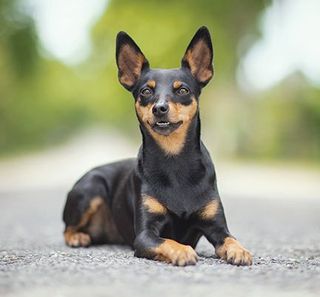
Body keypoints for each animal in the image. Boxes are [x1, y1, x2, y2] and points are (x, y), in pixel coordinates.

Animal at [62, 26, 252, 264]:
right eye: (146, 91)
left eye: (182, 90)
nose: (159, 108)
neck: (174, 161)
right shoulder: (145, 235)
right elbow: (167, 241)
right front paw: (182, 250)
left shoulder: (216, 226)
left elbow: (230, 238)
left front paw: (240, 250)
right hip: (90, 189)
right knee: (66, 228)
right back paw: (77, 237)